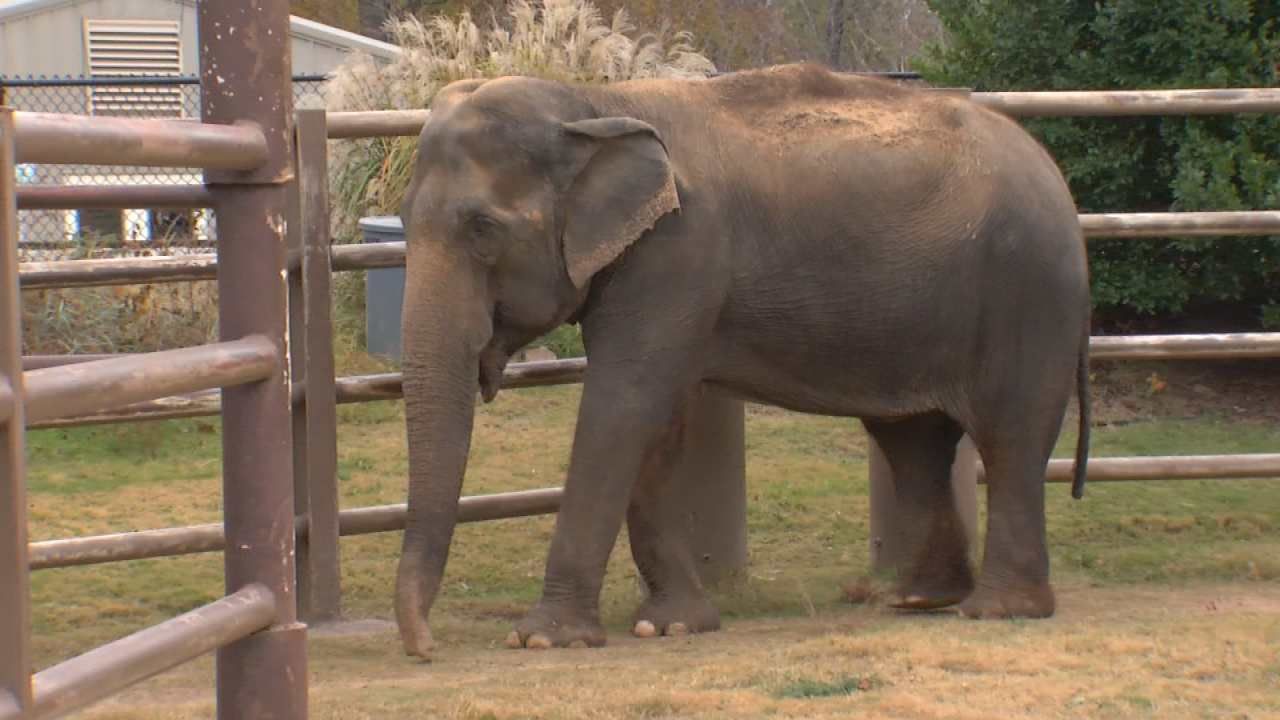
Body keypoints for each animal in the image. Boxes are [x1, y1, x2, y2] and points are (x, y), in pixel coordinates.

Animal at [393, 63, 1091, 658]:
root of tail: (1059, 182)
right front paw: (671, 625)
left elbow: (624, 403)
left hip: (1027, 291)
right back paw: (917, 599)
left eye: (483, 229)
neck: (594, 103)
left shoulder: (680, 249)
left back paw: (998, 610)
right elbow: (653, 425)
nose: (427, 648)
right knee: (913, 442)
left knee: (1009, 435)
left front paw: (542, 638)